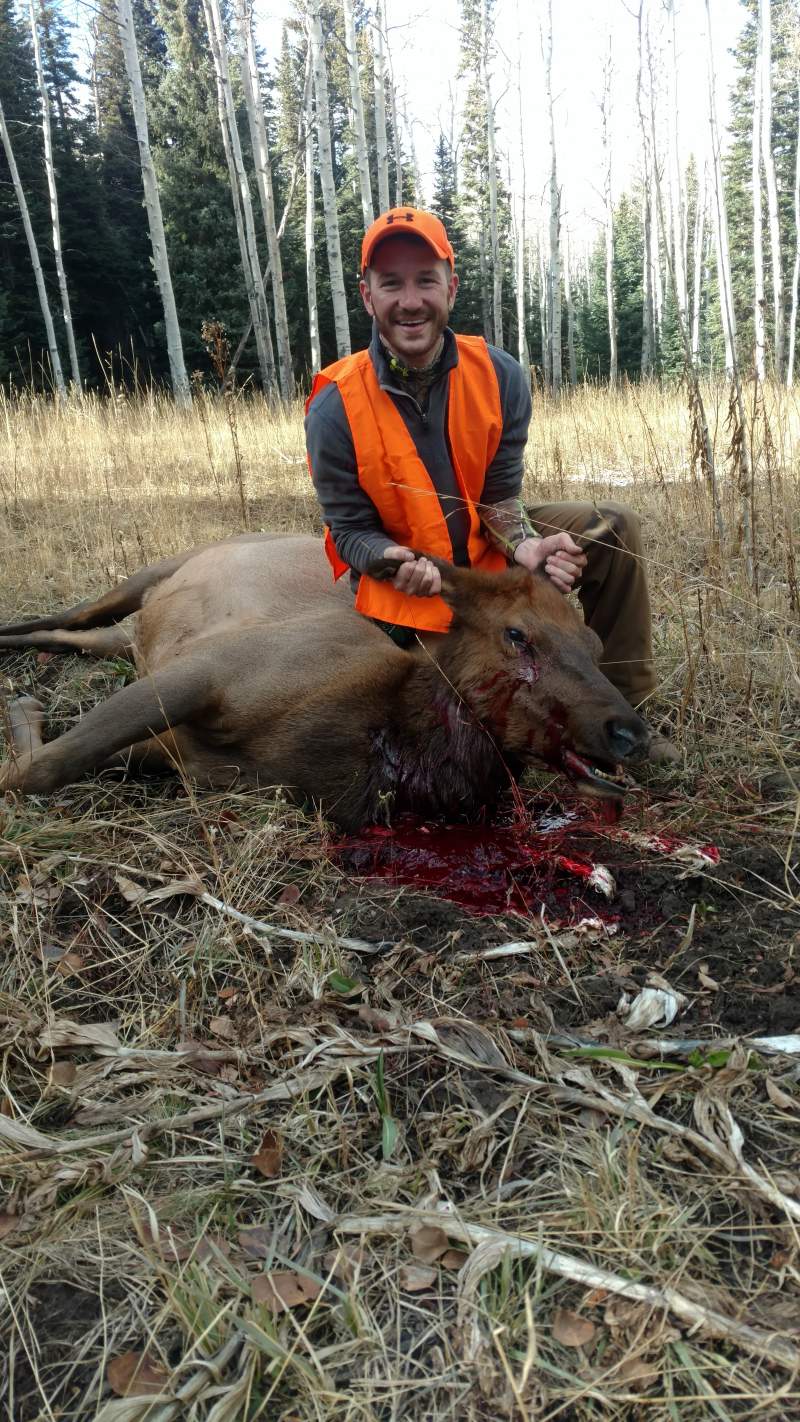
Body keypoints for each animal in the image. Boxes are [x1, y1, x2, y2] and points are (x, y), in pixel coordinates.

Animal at [0, 534, 650, 830]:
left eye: (595, 645)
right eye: (518, 634)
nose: (629, 732)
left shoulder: (180, 753)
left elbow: (48, 761)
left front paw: (25, 708)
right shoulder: (211, 669)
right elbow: (37, 770)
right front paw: (22, 711)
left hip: (129, 637)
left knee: (72, 635)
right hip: (149, 577)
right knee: (64, 616)